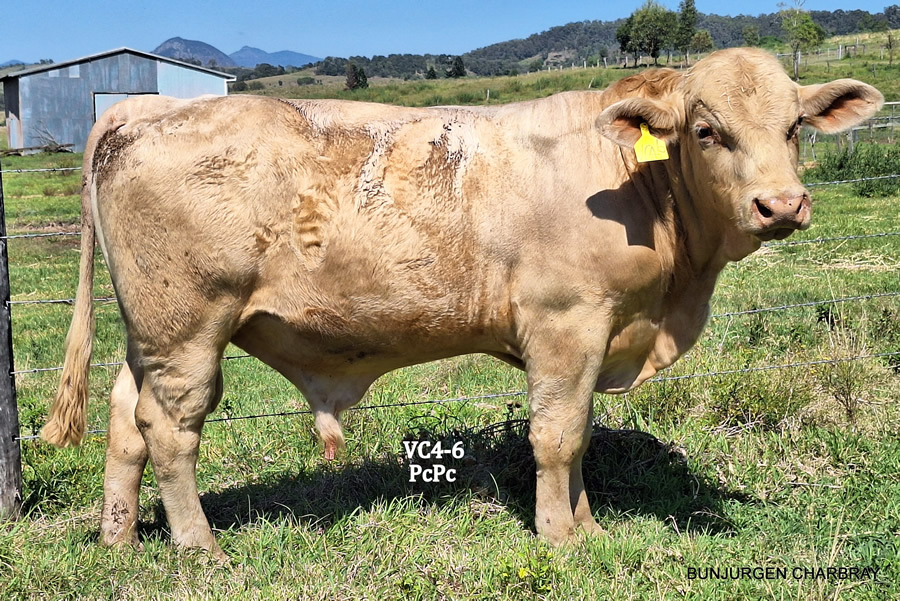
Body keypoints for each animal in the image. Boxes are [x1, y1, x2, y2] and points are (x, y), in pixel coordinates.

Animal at [41, 48, 882, 560]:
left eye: (794, 126)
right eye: (708, 130)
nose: (782, 204)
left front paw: (585, 522)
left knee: (126, 420)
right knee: (168, 429)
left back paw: (120, 538)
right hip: (189, 327)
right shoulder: (565, 323)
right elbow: (555, 437)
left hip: (151, 331)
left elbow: (579, 435)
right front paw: (558, 535)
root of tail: (139, 107)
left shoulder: (598, 332)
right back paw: (201, 547)